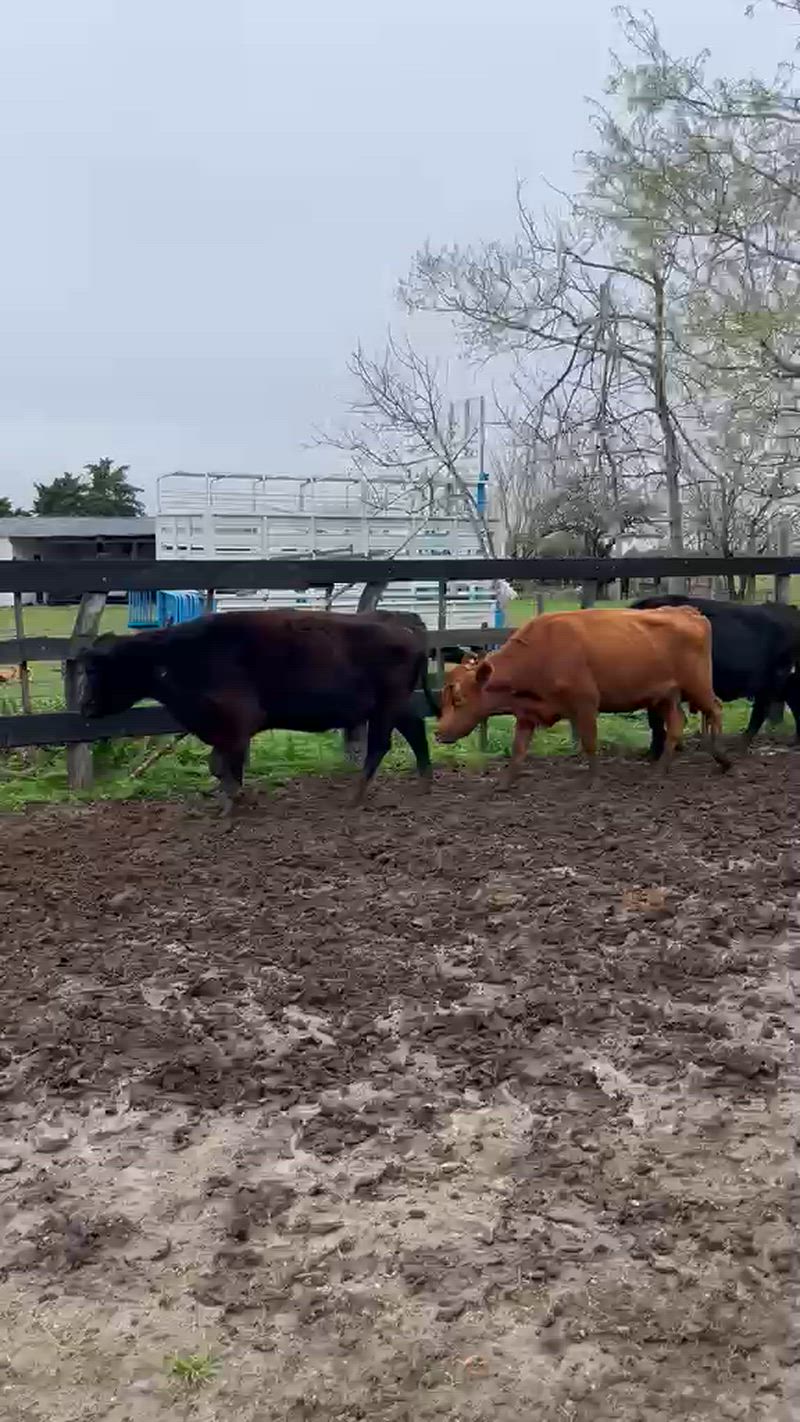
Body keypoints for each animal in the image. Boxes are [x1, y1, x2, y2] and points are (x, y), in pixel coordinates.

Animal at [77, 609, 439, 812]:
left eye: (96, 670)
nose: (84, 707)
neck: (177, 656)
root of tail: (406, 627)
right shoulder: (224, 730)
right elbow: (221, 766)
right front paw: (232, 801)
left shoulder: (235, 724)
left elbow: (223, 765)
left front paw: (234, 803)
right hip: (395, 707)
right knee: (415, 731)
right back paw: (423, 785)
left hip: (385, 708)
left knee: (379, 746)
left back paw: (355, 796)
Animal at [435, 605, 731, 785]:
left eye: (459, 699)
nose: (438, 733)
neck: (543, 651)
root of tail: (685, 611)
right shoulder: (527, 714)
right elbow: (518, 749)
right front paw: (505, 783)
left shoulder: (586, 704)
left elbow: (589, 743)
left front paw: (594, 781)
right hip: (666, 696)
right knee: (677, 724)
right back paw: (660, 770)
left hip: (698, 686)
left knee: (715, 709)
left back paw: (722, 758)